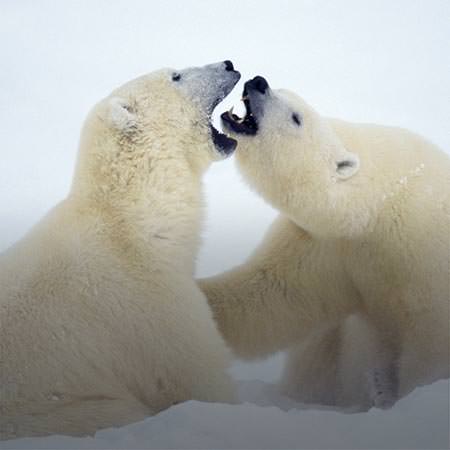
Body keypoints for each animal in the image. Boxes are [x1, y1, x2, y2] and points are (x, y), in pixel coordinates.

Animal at [0, 61, 243, 438]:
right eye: (176, 76)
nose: (229, 63)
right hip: (61, 413)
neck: (132, 224)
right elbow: (201, 380)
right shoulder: (151, 309)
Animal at [201, 75, 450, 410]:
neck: (377, 202)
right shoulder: (327, 244)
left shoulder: (421, 245)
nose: (258, 82)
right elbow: (270, 292)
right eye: (282, 91)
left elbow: (431, 338)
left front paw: (398, 396)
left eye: (296, 117)